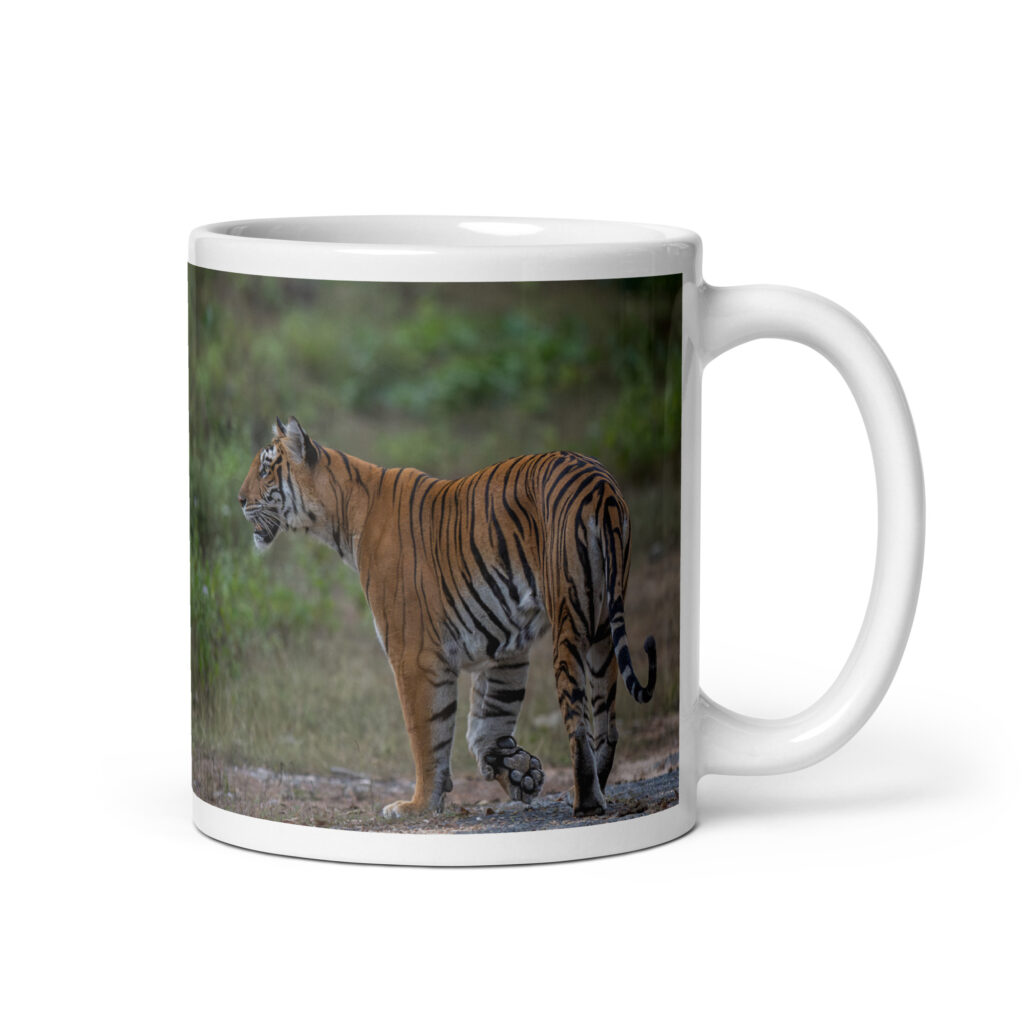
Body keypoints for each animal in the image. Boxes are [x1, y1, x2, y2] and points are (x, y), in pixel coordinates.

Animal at [238, 416, 656, 818]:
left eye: (265, 469)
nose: (239, 500)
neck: (342, 514)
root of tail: (599, 484)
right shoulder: (505, 643)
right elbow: (488, 719)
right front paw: (520, 773)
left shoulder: (414, 654)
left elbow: (427, 733)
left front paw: (419, 804)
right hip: (601, 627)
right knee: (607, 722)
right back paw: (591, 788)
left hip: (569, 617)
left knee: (578, 719)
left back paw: (585, 801)